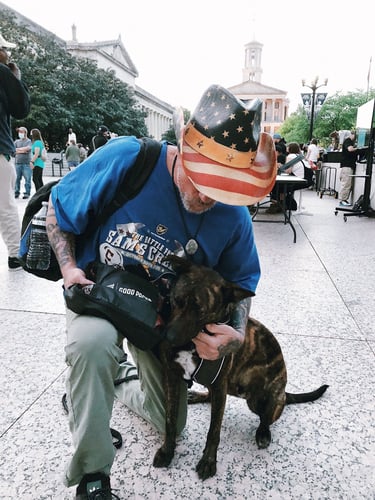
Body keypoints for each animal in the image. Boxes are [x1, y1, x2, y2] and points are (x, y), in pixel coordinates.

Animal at [153, 256, 328, 478]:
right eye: (176, 300)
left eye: (201, 312)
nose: (169, 339)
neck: (193, 343)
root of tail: (284, 393)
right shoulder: (172, 378)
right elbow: (170, 420)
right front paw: (167, 451)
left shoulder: (219, 386)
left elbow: (214, 431)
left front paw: (208, 461)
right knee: (211, 395)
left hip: (259, 399)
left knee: (265, 418)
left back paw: (263, 433)